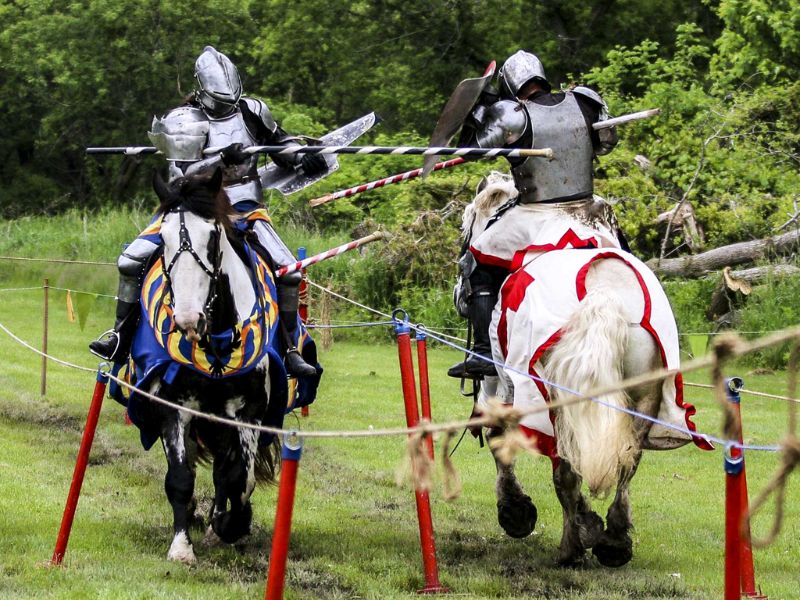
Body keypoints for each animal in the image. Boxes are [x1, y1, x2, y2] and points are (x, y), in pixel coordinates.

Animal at [462, 171, 708, 564]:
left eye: (465, 227)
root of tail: (603, 293)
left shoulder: (502, 385)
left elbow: (499, 439)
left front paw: (515, 512)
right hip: (643, 393)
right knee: (626, 461)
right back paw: (614, 542)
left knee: (566, 469)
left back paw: (572, 546)